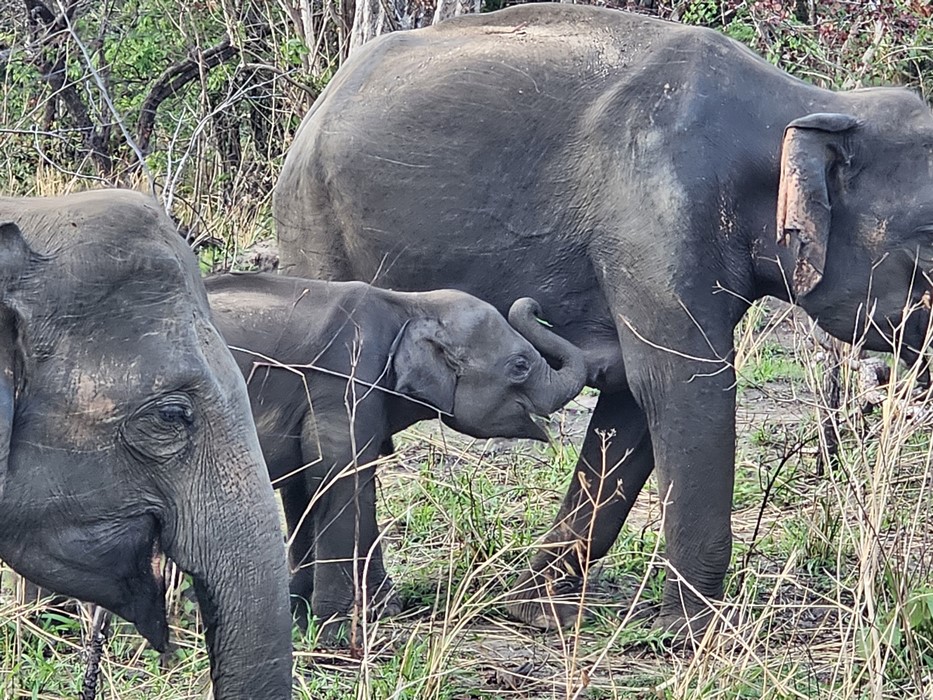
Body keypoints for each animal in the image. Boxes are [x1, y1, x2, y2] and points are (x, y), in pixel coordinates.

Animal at [204, 271, 586, 628]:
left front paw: (369, 610)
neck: (410, 304)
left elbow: (318, 486)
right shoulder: (345, 380)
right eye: (520, 366)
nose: (538, 307)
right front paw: (336, 626)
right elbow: (337, 476)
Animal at [273, 4, 933, 634]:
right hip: (316, 229)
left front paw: (537, 611)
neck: (811, 102)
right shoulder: (656, 210)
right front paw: (691, 635)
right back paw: (366, 610)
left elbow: (635, 408)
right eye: (928, 246)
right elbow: (683, 385)